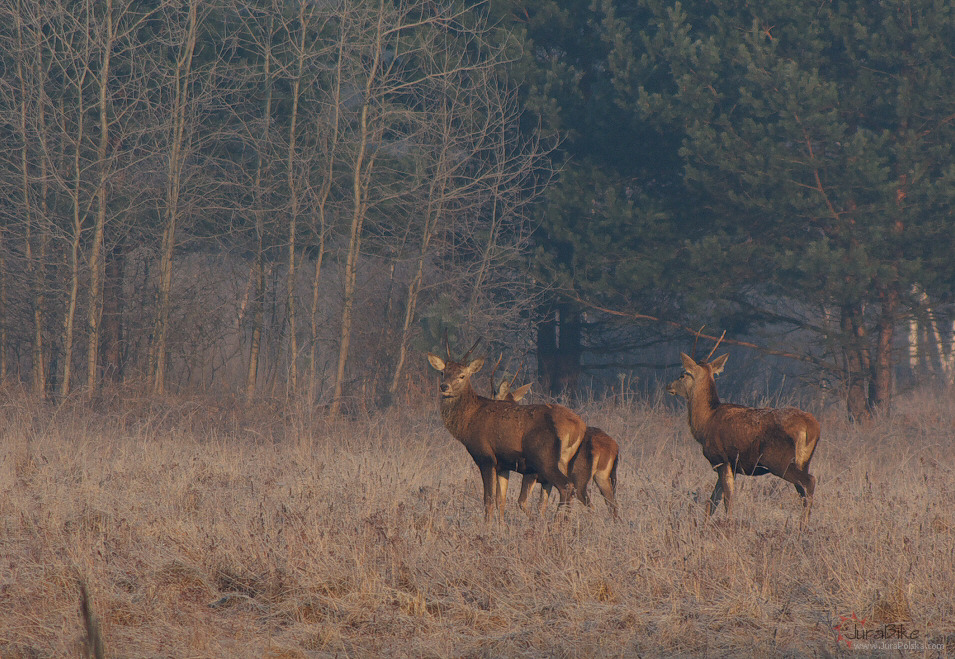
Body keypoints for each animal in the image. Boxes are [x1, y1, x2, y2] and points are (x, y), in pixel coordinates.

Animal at [428, 342, 592, 524]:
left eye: (462, 375)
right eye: (443, 372)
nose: (444, 386)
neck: (468, 422)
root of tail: (579, 426)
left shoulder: (485, 457)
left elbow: (488, 499)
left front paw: (487, 526)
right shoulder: (503, 465)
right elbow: (501, 499)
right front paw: (502, 526)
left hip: (544, 458)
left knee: (566, 486)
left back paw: (557, 523)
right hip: (563, 461)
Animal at [490, 360, 624, 520]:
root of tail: (614, 447)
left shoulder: (532, 473)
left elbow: (522, 502)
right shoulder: (545, 481)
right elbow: (540, 506)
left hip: (579, 478)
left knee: (590, 505)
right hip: (602, 477)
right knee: (612, 506)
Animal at [668, 338, 816, 528]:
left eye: (683, 374)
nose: (669, 386)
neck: (704, 422)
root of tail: (811, 426)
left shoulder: (722, 459)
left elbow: (727, 500)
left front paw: (728, 525)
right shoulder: (732, 465)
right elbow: (712, 502)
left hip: (780, 461)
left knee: (809, 482)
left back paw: (804, 526)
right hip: (804, 461)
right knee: (802, 491)